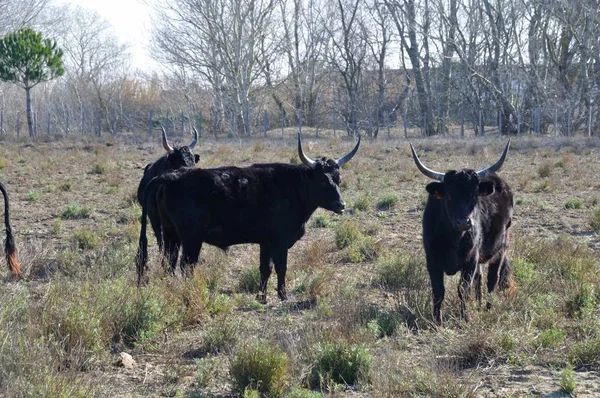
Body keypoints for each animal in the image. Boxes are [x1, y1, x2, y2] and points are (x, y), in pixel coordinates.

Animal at [412, 141, 516, 324]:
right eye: (449, 195)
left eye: (474, 195)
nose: (464, 222)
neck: (453, 239)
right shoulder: (432, 261)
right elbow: (438, 291)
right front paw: (437, 321)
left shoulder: (471, 261)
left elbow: (463, 290)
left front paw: (464, 318)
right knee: (480, 279)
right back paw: (480, 305)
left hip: (501, 248)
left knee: (492, 280)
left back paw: (487, 309)